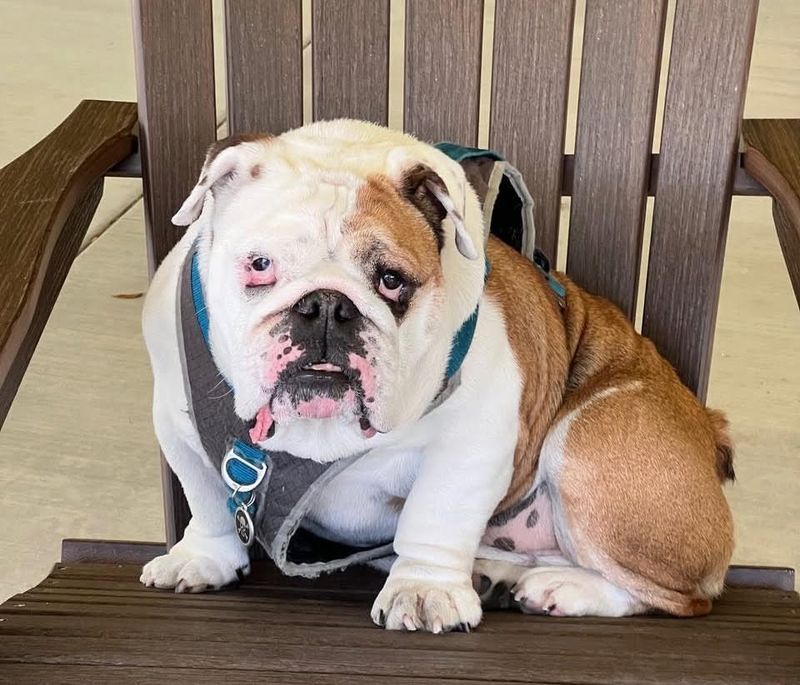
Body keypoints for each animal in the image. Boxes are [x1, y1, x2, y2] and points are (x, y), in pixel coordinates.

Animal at [140, 119, 734, 632]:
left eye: (392, 281)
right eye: (260, 266)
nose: (327, 305)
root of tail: (710, 428)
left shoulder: (472, 441)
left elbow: (434, 516)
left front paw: (423, 591)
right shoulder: (177, 423)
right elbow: (207, 498)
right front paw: (203, 557)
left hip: (591, 435)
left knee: (680, 598)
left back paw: (563, 588)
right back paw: (498, 574)